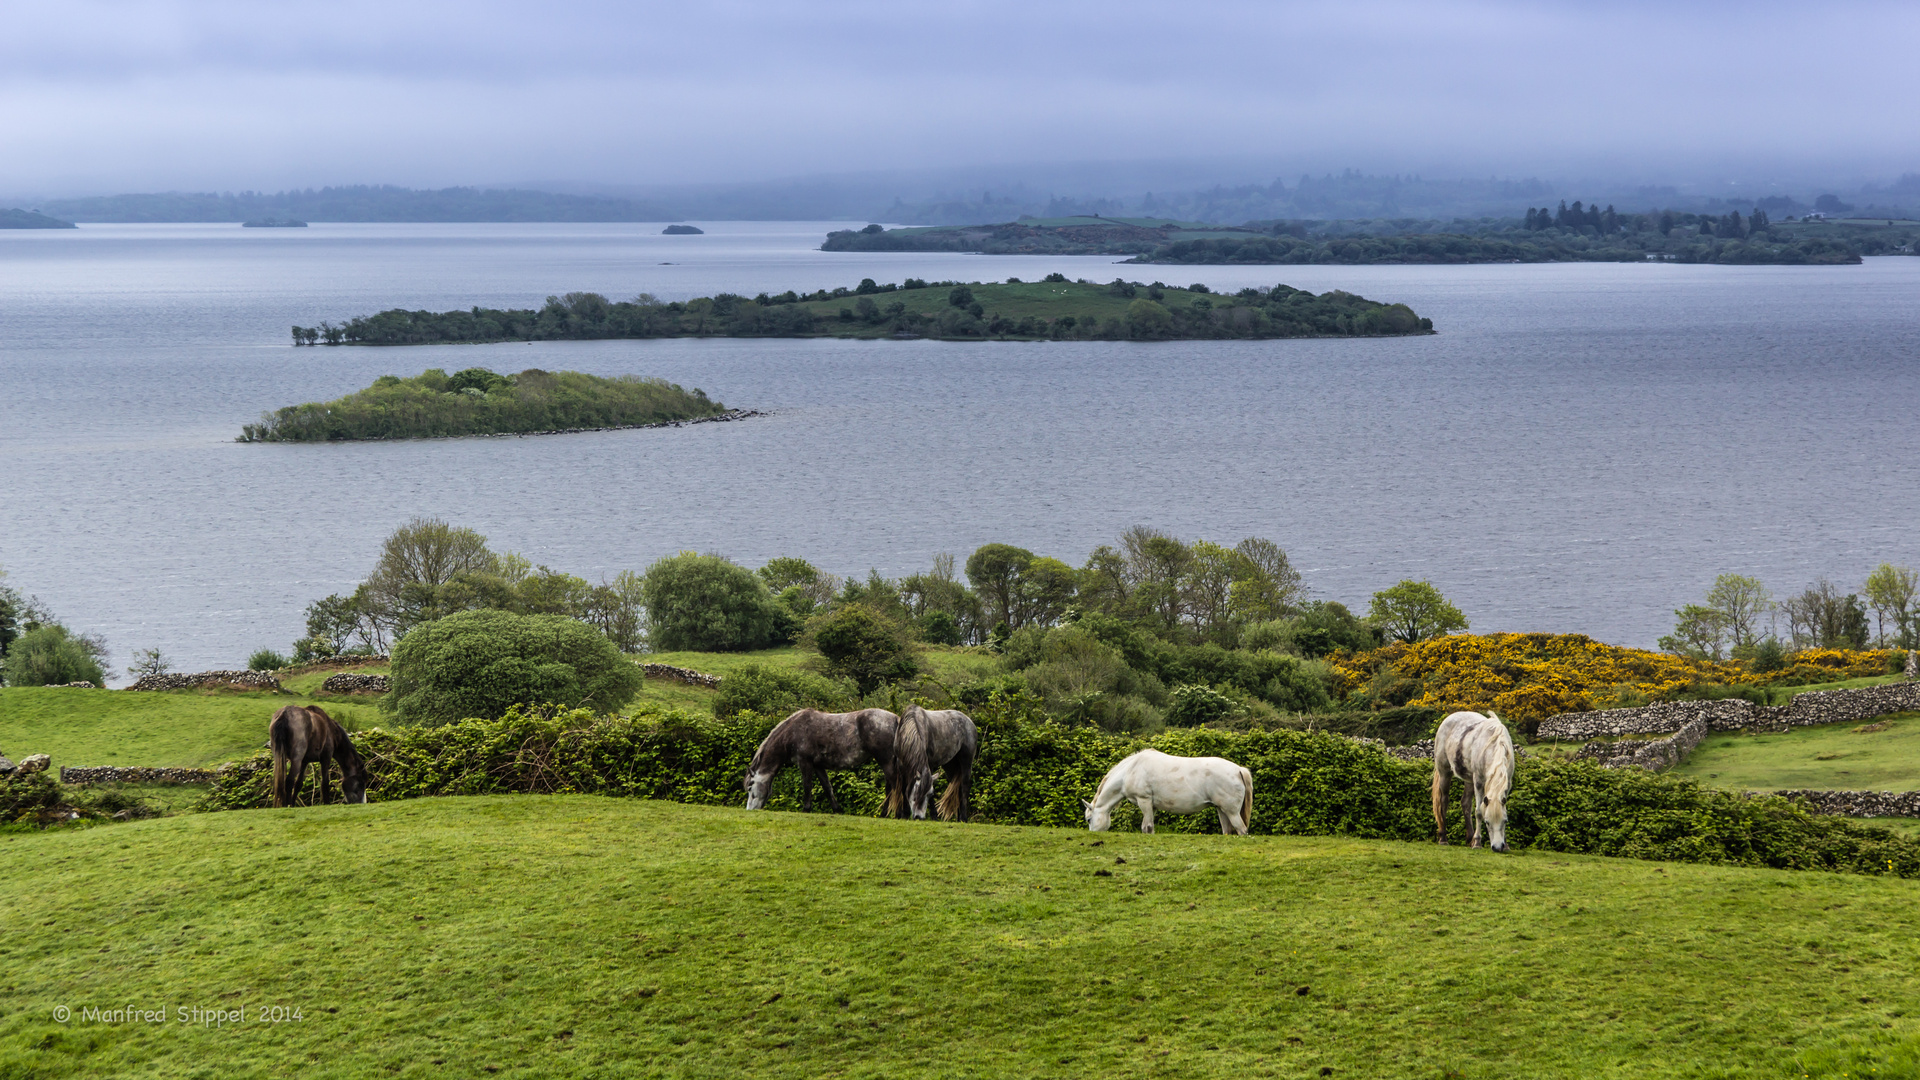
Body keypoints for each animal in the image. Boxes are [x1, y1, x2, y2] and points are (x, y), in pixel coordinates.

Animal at [744, 707, 902, 807]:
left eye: (751, 786)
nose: (750, 810)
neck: (793, 732)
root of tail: (895, 719)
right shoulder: (818, 766)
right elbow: (827, 788)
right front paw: (838, 810)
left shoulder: (805, 763)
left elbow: (807, 787)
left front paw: (806, 810)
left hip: (886, 762)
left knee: (896, 787)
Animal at [1082, 749, 1259, 834]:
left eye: (1089, 820)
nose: (1093, 834)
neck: (1130, 770)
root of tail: (1238, 770)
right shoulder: (1151, 806)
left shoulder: (1144, 801)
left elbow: (1147, 828)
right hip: (1221, 810)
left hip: (1232, 812)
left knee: (1242, 830)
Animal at [1428, 707, 1512, 849]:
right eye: (1487, 822)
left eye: (1505, 821)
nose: (1497, 847)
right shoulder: (1478, 782)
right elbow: (1478, 812)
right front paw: (1477, 842)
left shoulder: (1507, 785)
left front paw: (1506, 844)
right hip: (1445, 773)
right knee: (1443, 802)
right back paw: (1444, 838)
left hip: (1469, 780)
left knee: (1465, 803)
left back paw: (1469, 838)